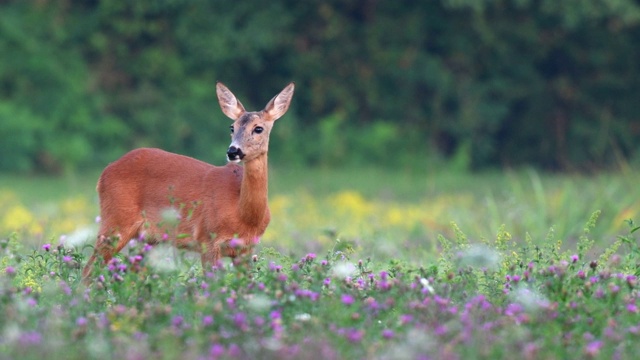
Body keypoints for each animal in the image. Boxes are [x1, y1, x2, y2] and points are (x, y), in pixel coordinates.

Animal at [80, 81, 298, 282]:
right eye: (232, 127)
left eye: (258, 128)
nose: (233, 151)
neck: (244, 214)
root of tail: (104, 172)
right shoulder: (207, 238)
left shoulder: (246, 249)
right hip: (115, 220)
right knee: (88, 270)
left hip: (149, 238)